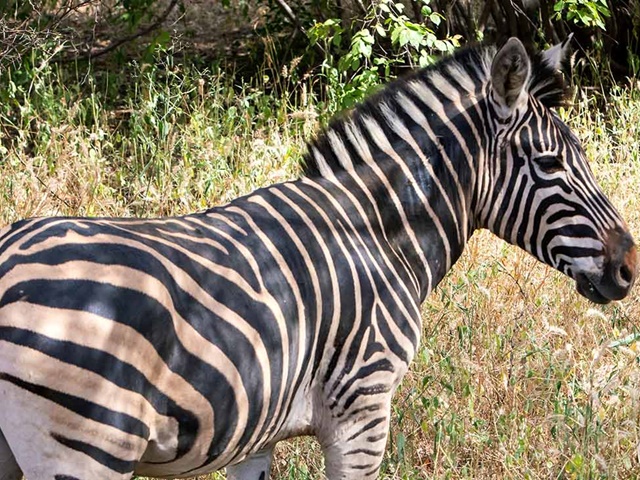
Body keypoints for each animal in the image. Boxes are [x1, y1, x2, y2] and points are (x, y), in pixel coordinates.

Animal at [0, 37, 632, 480]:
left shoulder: (257, 433)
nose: (629, 266)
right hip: (84, 447)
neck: (376, 232)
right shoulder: (364, 410)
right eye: (550, 165)